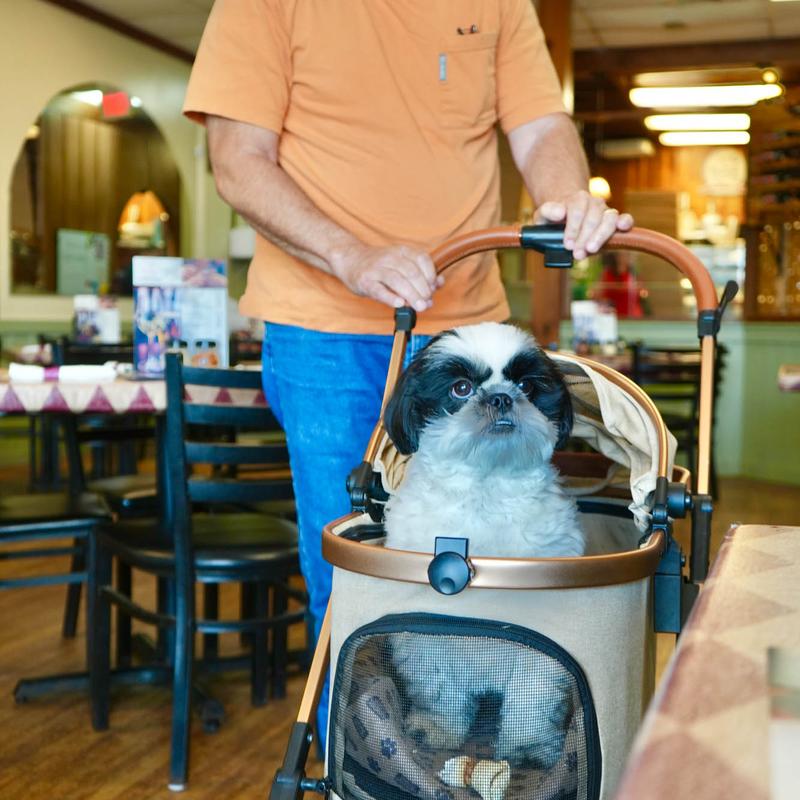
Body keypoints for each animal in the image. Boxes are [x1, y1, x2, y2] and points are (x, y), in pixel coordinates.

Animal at [381, 321, 584, 769]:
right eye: (460, 388)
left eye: (526, 385)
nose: (501, 397)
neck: (485, 489)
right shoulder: (427, 642)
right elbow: (440, 691)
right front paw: (438, 729)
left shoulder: (539, 649)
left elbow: (532, 695)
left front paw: (526, 746)